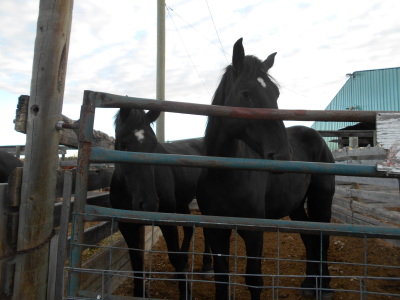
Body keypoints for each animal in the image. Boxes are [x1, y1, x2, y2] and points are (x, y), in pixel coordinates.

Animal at [108, 108, 211, 300]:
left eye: (154, 146)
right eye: (123, 144)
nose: (148, 204)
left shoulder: (166, 221)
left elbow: (173, 256)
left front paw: (185, 292)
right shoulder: (126, 225)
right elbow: (136, 259)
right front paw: (139, 293)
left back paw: (207, 265)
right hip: (181, 203)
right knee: (189, 229)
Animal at [197, 38, 334, 298]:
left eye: (276, 93)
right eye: (246, 94)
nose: (282, 156)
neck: (224, 174)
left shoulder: (254, 233)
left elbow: (254, 280)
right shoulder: (216, 232)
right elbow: (221, 279)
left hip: (322, 199)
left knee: (322, 239)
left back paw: (324, 286)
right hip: (297, 205)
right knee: (309, 238)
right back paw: (309, 283)